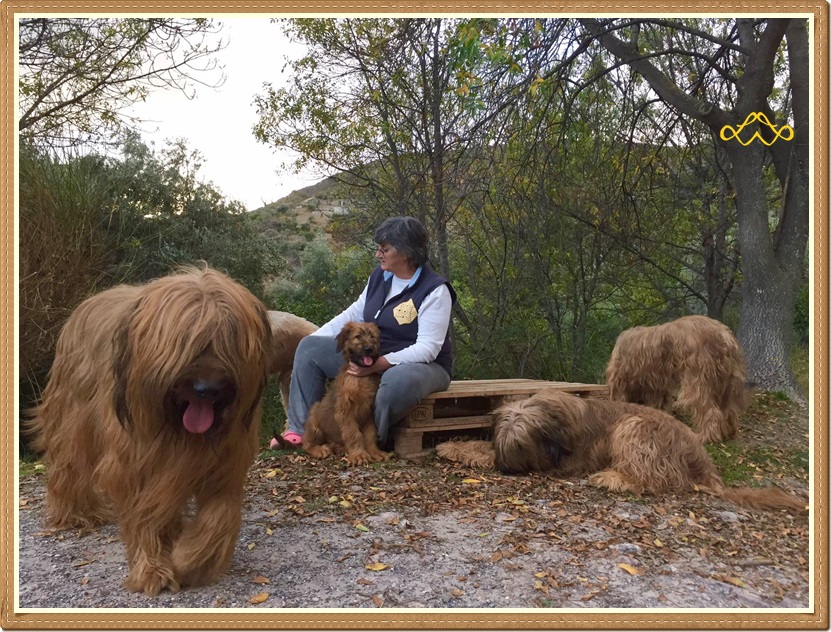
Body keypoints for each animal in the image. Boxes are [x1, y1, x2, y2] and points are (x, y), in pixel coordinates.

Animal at [25, 266, 272, 592]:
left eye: (227, 338)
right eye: (184, 341)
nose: (206, 389)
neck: (178, 430)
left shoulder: (226, 463)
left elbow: (220, 516)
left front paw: (189, 558)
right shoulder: (134, 465)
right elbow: (143, 515)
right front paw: (153, 569)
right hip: (73, 417)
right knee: (69, 467)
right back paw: (76, 514)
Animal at [302, 324, 394, 466]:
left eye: (372, 336)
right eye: (358, 336)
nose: (369, 349)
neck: (362, 377)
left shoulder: (369, 413)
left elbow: (370, 434)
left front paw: (375, 452)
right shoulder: (345, 411)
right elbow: (353, 434)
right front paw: (359, 455)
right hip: (314, 419)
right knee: (306, 443)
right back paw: (319, 450)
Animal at [436, 390, 808, 512]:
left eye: (519, 445)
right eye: (508, 443)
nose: (506, 470)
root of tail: (704, 463)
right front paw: (450, 446)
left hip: (634, 427)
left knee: (655, 480)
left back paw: (612, 478)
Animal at [604, 316, 748, 444]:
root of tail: (725, 336)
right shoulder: (658, 385)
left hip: (698, 379)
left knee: (711, 411)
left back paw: (703, 437)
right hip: (725, 382)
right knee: (729, 410)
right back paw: (729, 433)